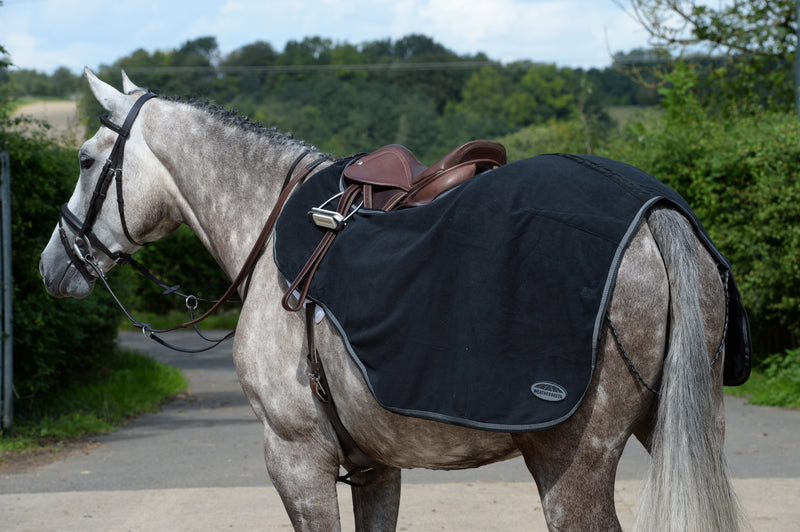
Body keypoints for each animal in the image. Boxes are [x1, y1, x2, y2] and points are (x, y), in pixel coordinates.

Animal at [39, 69, 749, 531]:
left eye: (84, 159)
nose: (53, 264)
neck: (268, 225)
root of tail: (654, 212)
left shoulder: (297, 460)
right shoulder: (375, 466)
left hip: (572, 468)